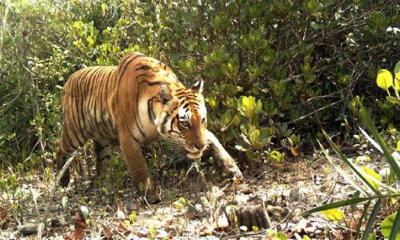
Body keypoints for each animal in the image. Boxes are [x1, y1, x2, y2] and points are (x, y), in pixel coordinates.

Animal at [56, 52, 242, 195]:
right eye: (185, 124)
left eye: (202, 120)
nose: (200, 147)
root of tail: (69, 79)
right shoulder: (128, 140)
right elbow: (139, 169)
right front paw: (149, 194)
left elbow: (214, 140)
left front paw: (232, 168)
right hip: (75, 133)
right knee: (59, 146)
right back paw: (62, 180)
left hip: (103, 143)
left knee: (102, 163)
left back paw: (100, 183)